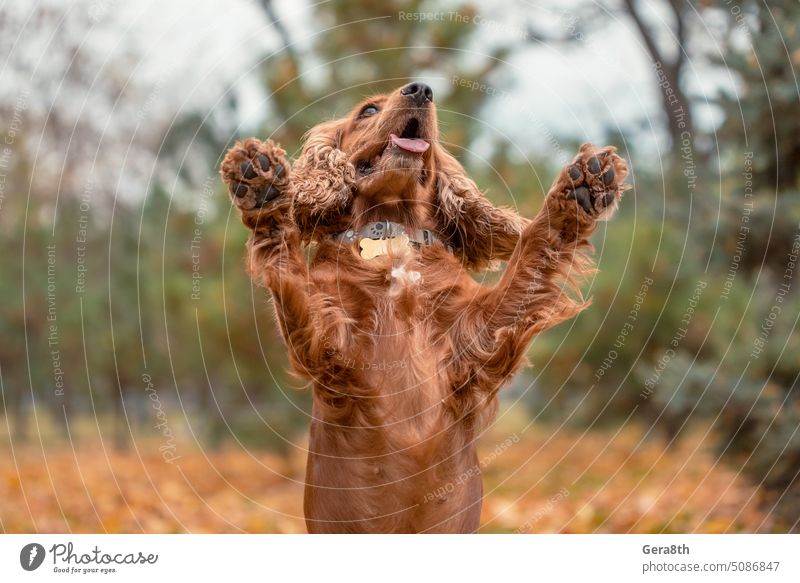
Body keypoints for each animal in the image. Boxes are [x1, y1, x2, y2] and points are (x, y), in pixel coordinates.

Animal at [222, 82, 628, 532]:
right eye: (368, 110)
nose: (421, 89)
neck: (392, 231)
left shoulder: (477, 338)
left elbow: (532, 252)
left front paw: (582, 188)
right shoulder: (332, 349)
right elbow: (289, 268)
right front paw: (263, 188)